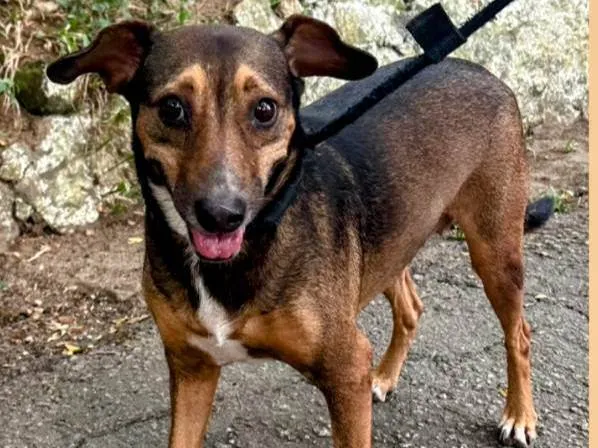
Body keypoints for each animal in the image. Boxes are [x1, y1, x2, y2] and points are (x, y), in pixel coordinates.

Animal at [47, 14, 552, 448]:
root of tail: (479, 70)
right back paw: (386, 376)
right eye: (172, 108)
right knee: (411, 307)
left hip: (495, 251)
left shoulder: (345, 369)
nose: (222, 214)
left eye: (265, 109)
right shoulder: (192, 369)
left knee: (521, 335)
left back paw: (519, 416)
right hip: (390, 242)